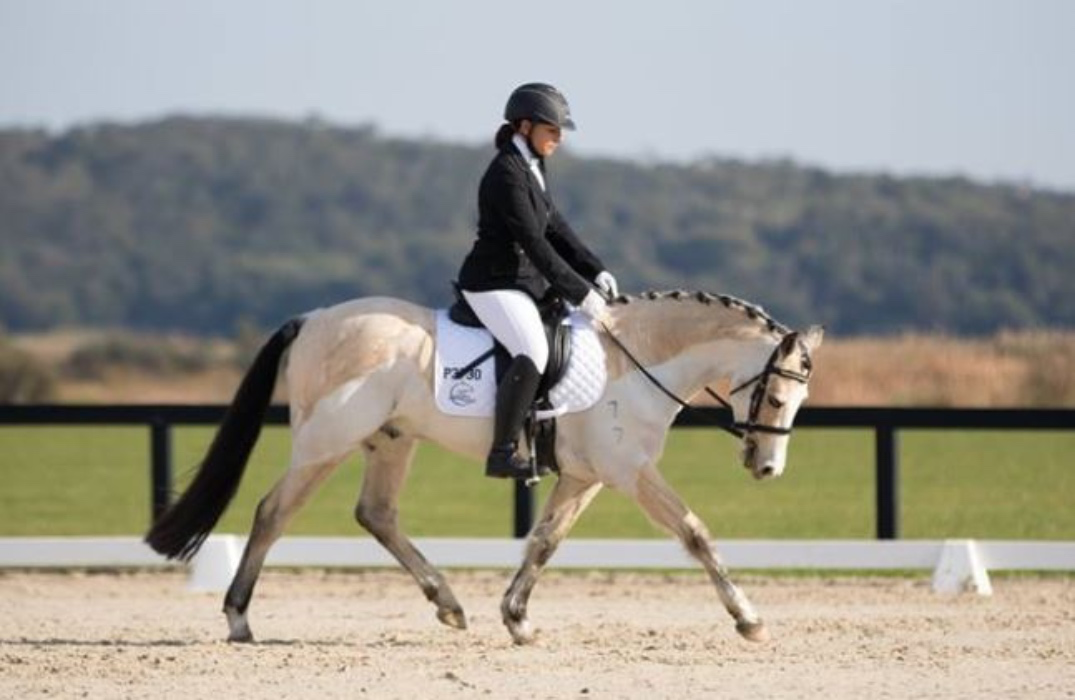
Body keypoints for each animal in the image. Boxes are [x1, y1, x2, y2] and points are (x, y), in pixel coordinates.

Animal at [145, 290, 823, 645]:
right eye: (776, 397)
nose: (767, 469)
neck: (634, 362)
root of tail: (311, 319)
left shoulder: (587, 476)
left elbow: (544, 541)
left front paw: (516, 618)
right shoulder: (628, 470)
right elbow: (695, 533)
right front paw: (750, 619)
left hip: (390, 440)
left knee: (377, 514)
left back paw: (448, 604)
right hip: (327, 441)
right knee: (272, 512)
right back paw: (238, 618)